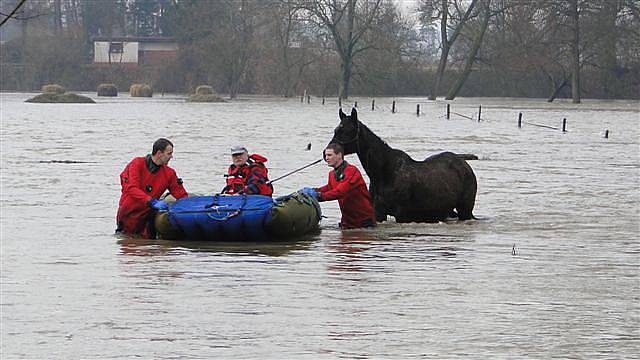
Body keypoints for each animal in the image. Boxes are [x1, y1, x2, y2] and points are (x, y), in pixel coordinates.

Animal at [330, 108, 476, 224]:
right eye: (336, 130)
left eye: (347, 131)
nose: (327, 152)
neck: (385, 173)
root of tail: (465, 166)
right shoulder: (379, 212)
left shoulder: (402, 214)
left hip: (465, 210)